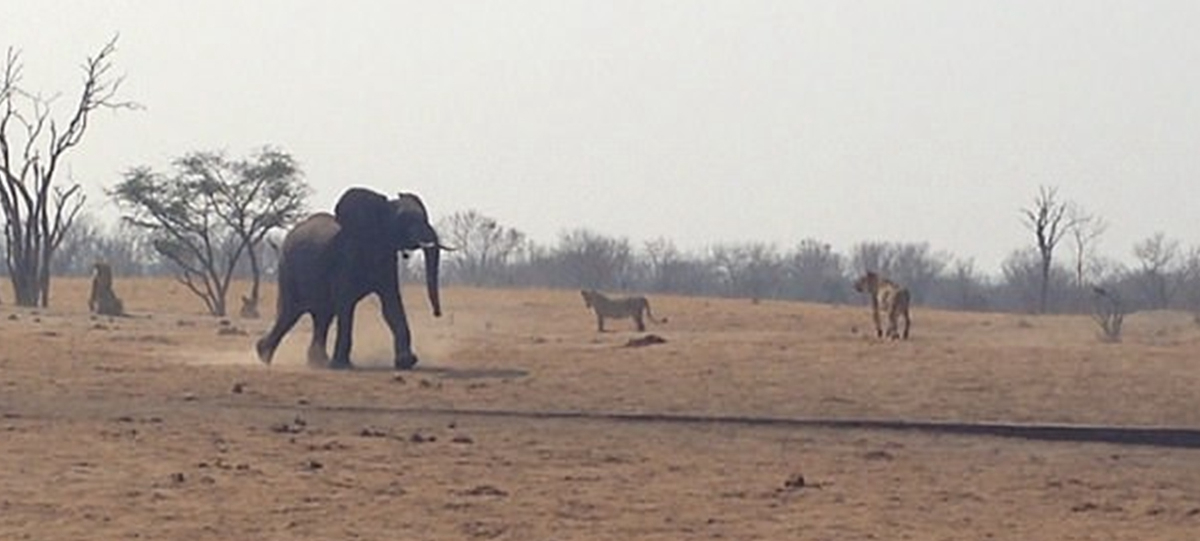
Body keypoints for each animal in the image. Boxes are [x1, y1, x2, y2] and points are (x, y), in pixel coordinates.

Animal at [254, 188, 446, 369]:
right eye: (404, 220)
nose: (437, 313)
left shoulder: (386, 257)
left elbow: (391, 304)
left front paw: (406, 362)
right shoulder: (345, 256)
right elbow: (345, 304)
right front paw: (341, 365)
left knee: (322, 315)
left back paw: (316, 362)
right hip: (288, 270)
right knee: (290, 312)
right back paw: (263, 356)